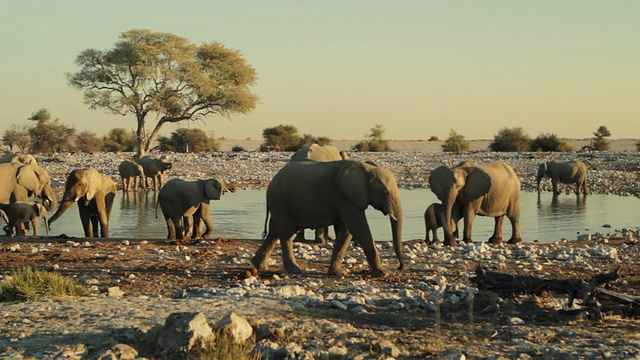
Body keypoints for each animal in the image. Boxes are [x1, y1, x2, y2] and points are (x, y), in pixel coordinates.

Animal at [251, 159, 404, 278]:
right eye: (385, 192)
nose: (399, 267)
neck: (367, 169)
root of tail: (272, 181)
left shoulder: (346, 198)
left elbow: (345, 230)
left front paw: (338, 273)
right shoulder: (344, 197)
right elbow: (358, 227)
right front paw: (383, 273)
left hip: (279, 202)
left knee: (274, 232)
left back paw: (258, 266)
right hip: (279, 200)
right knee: (285, 232)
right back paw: (295, 270)